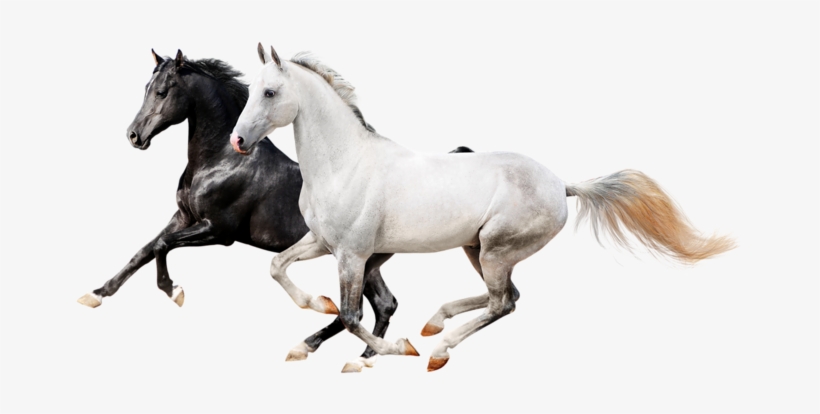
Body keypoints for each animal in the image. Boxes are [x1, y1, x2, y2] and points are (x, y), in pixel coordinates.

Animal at [77, 49, 439, 372]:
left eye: (163, 91)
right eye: (146, 88)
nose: (134, 136)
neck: (221, 160)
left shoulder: (217, 230)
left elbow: (162, 246)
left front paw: (173, 291)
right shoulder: (183, 217)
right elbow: (144, 250)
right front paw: (97, 294)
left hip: (355, 259)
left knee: (360, 310)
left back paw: (316, 346)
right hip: (366, 263)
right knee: (383, 304)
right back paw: (363, 358)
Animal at [229, 44, 735, 372]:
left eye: (270, 92)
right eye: (251, 90)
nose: (237, 141)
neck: (345, 163)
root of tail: (561, 185)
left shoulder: (352, 254)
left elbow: (352, 317)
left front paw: (388, 352)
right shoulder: (322, 243)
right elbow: (277, 267)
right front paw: (314, 308)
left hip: (496, 250)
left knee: (502, 302)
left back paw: (437, 349)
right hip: (477, 249)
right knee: (507, 297)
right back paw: (434, 324)